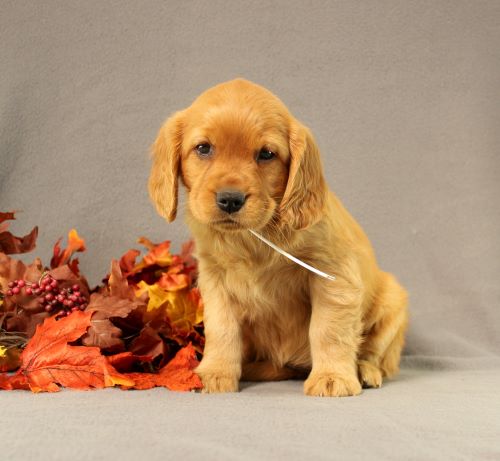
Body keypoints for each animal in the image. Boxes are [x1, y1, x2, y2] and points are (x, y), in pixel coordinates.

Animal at [147, 77, 406, 394]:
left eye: (266, 154)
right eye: (204, 148)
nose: (230, 199)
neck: (253, 237)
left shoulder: (334, 276)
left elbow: (328, 329)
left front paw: (332, 377)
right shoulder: (215, 280)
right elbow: (221, 329)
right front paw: (214, 373)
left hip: (393, 301)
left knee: (376, 353)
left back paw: (365, 370)